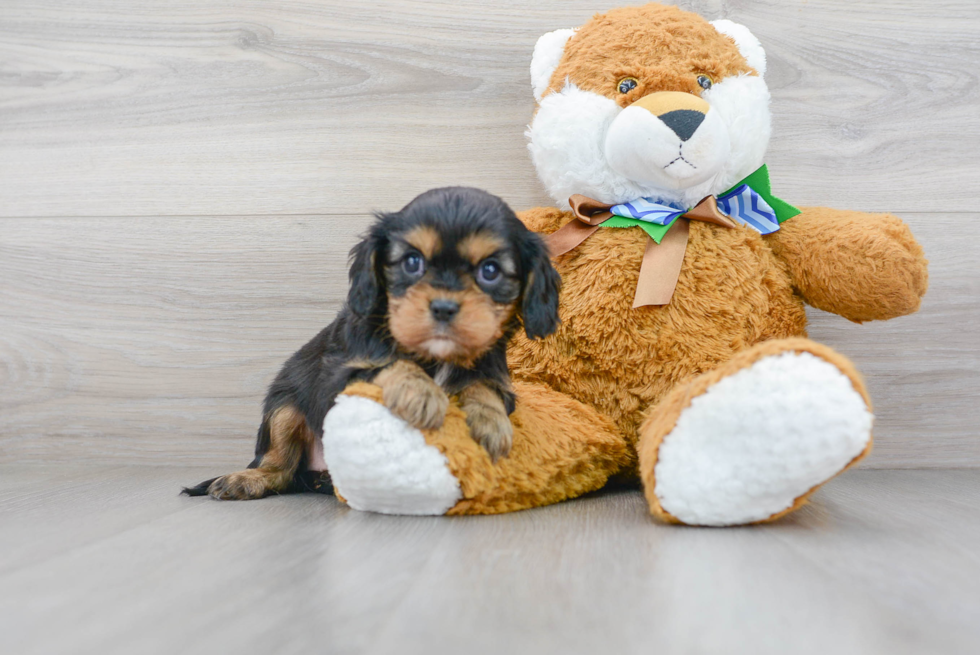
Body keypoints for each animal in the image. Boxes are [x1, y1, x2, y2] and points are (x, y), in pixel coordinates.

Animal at [183, 187, 560, 500]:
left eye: (490, 271)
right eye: (412, 262)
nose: (443, 307)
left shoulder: (499, 380)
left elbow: (482, 386)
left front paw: (490, 423)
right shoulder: (337, 377)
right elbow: (391, 363)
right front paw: (421, 393)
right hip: (283, 407)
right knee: (280, 467)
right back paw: (247, 479)